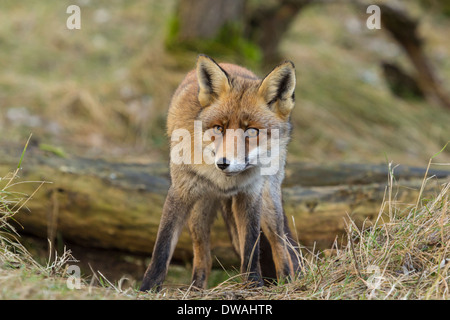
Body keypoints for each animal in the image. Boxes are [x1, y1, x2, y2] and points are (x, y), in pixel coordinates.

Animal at [141, 55, 300, 292]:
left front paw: (253, 285)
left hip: (269, 204)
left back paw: (287, 281)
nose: (223, 163)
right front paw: (147, 288)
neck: (225, 182)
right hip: (199, 212)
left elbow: (251, 249)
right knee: (203, 256)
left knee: (280, 244)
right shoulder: (180, 191)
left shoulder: (250, 195)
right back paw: (196, 290)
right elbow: (162, 247)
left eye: (251, 131)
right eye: (219, 128)